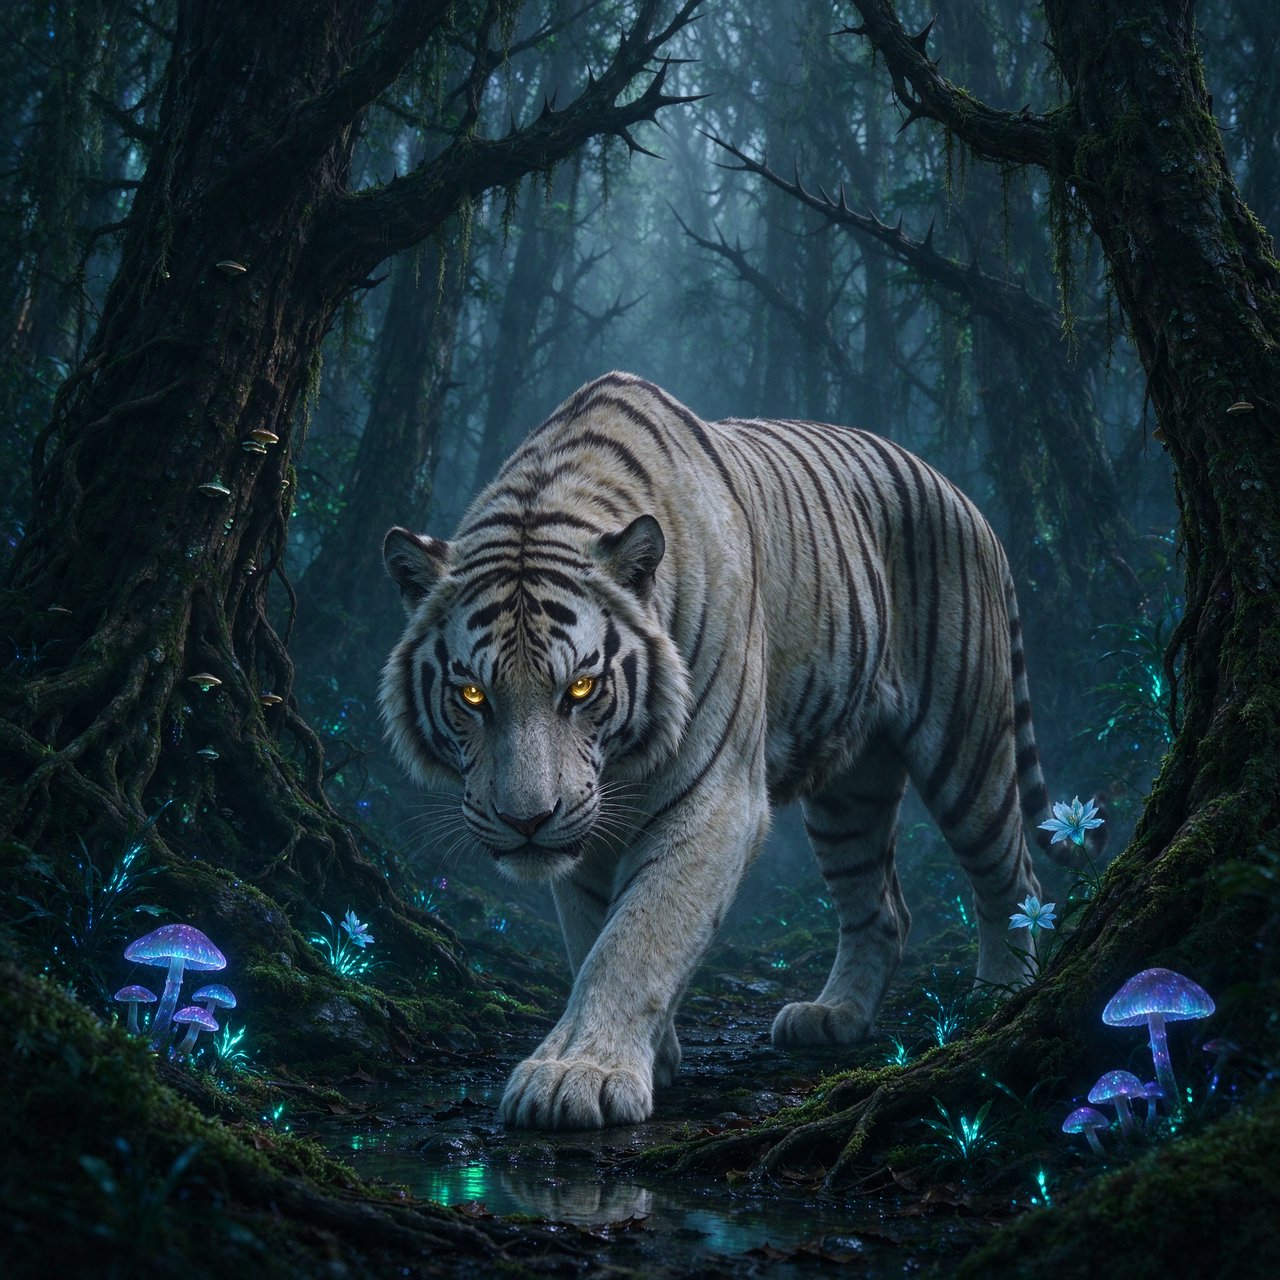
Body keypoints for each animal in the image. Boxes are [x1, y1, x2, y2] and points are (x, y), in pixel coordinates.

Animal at [381, 371, 1067, 1131]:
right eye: (473, 696)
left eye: (581, 687)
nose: (526, 820)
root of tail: (961, 495)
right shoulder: (586, 826)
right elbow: (593, 932)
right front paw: (648, 1055)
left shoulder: (715, 800)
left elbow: (636, 935)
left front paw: (578, 1075)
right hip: (848, 793)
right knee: (883, 907)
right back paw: (834, 1015)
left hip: (968, 747)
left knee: (1014, 880)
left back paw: (997, 999)